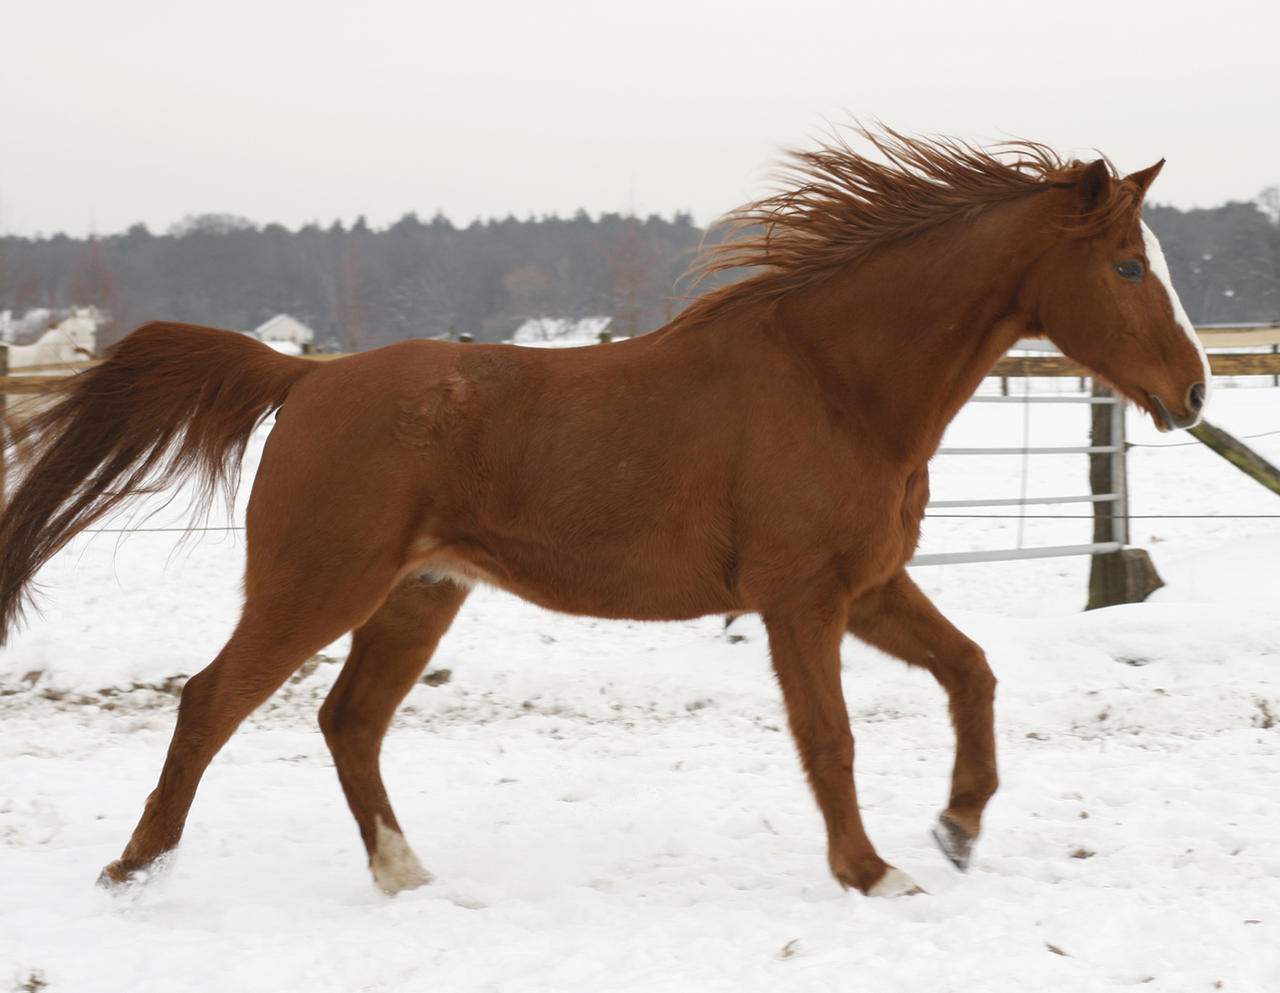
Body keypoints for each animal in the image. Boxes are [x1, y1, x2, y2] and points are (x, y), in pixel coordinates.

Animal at [0, 126, 1208, 900]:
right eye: (1124, 266)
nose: (1193, 393)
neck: (834, 380)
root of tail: (305, 379)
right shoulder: (798, 600)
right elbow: (830, 737)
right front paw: (877, 874)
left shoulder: (865, 587)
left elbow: (971, 672)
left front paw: (956, 829)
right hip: (318, 583)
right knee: (212, 701)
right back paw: (133, 872)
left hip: (417, 594)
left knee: (348, 722)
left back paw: (406, 876)